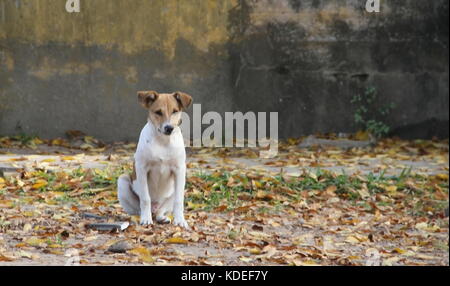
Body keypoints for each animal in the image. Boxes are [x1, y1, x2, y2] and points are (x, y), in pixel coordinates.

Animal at [116, 90, 192, 229]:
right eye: (158, 112)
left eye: (175, 111)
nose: (169, 128)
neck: (163, 141)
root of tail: (155, 208)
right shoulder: (142, 169)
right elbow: (145, 199)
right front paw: (146, 219)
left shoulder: (179, 170)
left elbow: (179, 200)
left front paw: (180, 220)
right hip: (122, 181)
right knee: (138, 210)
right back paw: (141, 217)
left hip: (177, 188)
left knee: (160, 212)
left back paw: (162, 218)